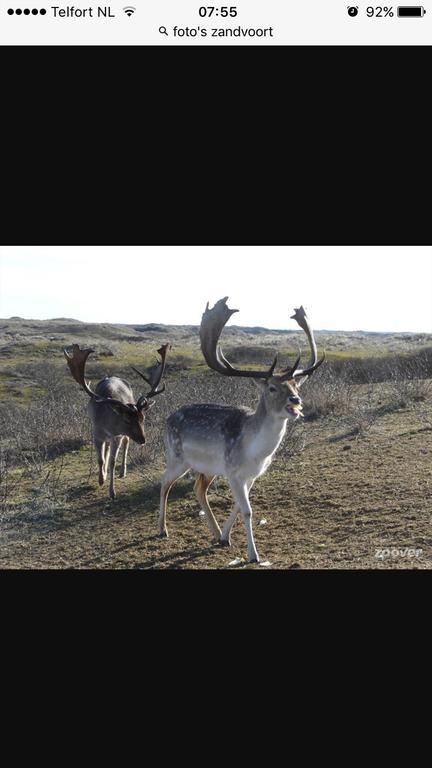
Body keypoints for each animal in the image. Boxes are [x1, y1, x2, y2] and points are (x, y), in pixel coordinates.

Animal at [64, 344, 169, 500]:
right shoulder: (96, 434)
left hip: (122, 437)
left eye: (143, 418)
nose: (143, 439)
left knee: (126, 443)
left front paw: (112, 492)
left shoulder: (117, 436)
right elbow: (100, 459)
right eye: (126, 419)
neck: (107, 424)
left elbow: (113, 461)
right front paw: (101, 479)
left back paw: (122, 471)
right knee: (107, 450)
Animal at [159, 300, 324, 564]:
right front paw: (253, 555)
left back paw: (214, 532)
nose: (296, 399)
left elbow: (238, 506)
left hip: (208, 467)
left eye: (295, 385)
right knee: (164, 481)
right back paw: (162, 529)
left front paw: (225, 537)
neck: (255, 452)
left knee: (198, 489)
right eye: (271, 387)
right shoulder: (233, 471)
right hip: (176, 456)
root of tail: (167, 418)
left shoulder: (251, 475)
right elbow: (247, 510)